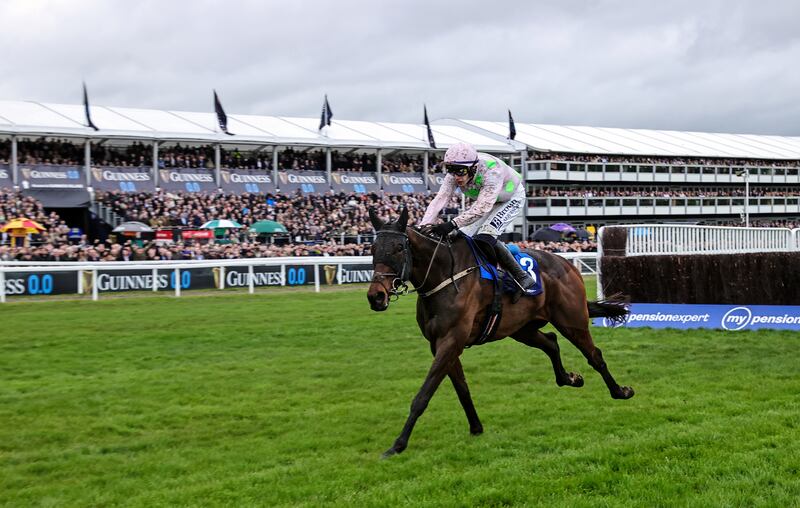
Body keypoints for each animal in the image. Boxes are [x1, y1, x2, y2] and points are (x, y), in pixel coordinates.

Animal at [366, 206, 636, 456]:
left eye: (398, 248)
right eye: (373, 248)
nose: (376, 296)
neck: (444, 276)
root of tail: (566, 264)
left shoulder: (451, 340)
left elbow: (423, 395)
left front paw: (398, 444)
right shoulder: (439, 344)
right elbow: (461, 388)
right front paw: (476, 427)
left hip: (572, 321)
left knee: (594, 355)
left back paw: (620, 391)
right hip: (522, 328)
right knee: (551, 342)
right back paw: (570, 378)